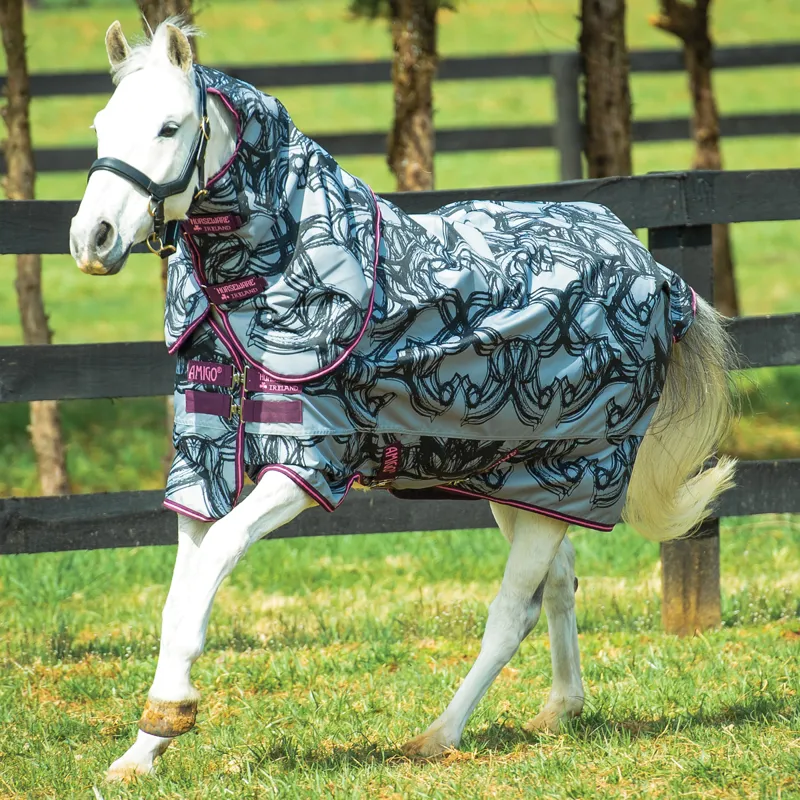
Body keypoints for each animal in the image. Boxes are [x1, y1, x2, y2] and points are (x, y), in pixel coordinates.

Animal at [69, 19, 736, 781]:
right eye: (102, 126)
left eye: (168, 126)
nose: (92, 240)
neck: (264, 289)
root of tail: (655, 272)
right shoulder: (201, 464)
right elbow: (180, 595)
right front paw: (142, 749)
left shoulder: (305, 465)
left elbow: (211, 569)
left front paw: (171, 713)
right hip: (520, 483)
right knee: (558, 585)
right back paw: (560, 710)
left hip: (570, 476)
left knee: (512, 612)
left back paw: (438, 735)